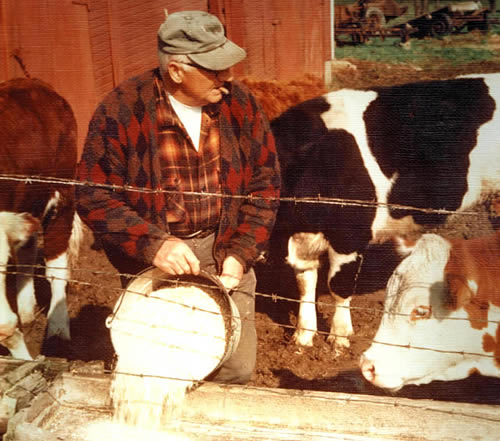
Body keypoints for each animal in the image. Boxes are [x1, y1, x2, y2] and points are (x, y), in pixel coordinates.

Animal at [0, 77, 82, 360]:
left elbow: (4, 325)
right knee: (28, 249)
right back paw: (27, 311)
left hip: (62, 194)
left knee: (56, 269)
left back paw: (57, 333)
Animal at [264, 74, 498, 352]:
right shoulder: (302, 237)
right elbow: (305, 285)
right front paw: (303, 337)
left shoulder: (350, 234)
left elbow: (338, 285)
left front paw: (339, 338)